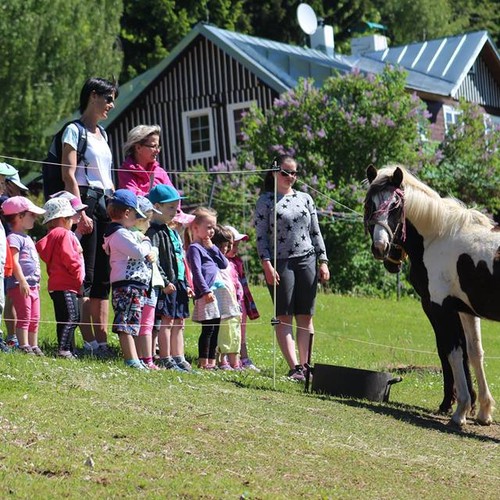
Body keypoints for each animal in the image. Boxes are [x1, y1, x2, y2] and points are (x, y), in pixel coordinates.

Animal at [364, 164, 496, 426]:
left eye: (395, 205)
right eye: (370, 204)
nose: (380, 247)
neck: (439, 236)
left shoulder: (439, 308)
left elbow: (452, 353)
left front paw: (460, 409)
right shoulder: (466, 311)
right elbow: (474, 353)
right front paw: (484, 411)